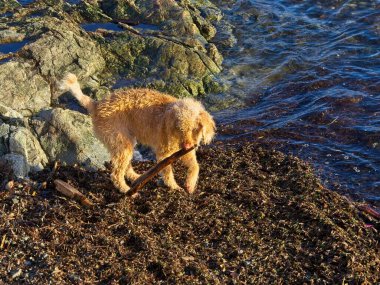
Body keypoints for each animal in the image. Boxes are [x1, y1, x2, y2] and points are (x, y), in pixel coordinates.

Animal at [58, 73, 215, 193]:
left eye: (194, 129)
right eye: (180, 128)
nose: (187, 145)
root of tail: (97, 105)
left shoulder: (186, 152)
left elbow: (195, 166)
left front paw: (190, 184)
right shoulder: (164, 153)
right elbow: (167, 172)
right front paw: (174, 187)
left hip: (124, 143)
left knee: (124, 167)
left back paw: (135, 178)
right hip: (121, 142)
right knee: (116, 174)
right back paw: (127, 191)